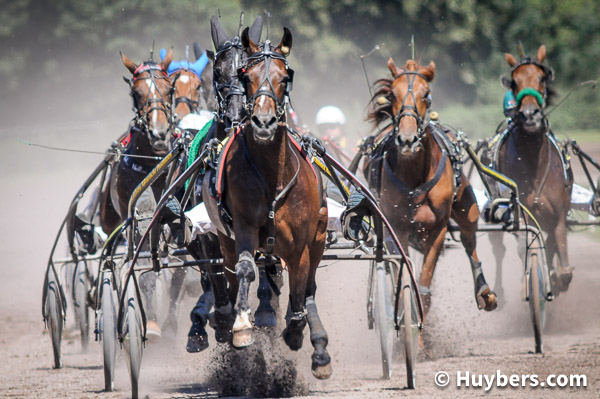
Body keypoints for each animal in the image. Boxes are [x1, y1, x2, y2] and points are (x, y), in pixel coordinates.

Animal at [202, 27, 332, 378]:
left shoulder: (301, 243)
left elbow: (301, 289)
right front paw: (241, 326)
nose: (263, 122)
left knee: (310, 287)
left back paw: (317, 345)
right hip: (226, 240)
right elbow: (246, 269)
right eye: (247, 76)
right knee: (234, 273)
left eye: (285, 77)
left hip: (319, 236)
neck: (272, 174)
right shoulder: (244, 226)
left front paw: (297, 329)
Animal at [364, 59, 500, 326]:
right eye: (392, 94)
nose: (407, 139)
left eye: (426, 94)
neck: (414, 175)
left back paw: (483, 291)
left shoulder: (437, 230)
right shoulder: (397, 229)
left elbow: (424, 285)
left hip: (467, 207)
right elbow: (404, 271)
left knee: (469, 241)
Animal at [490, 46, 576, 296]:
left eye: (541, 78)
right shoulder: (523, 212)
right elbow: (526, 245)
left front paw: (557, 278)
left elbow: (557, 248)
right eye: (514, 82)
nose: (529, 114)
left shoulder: (558, 213)